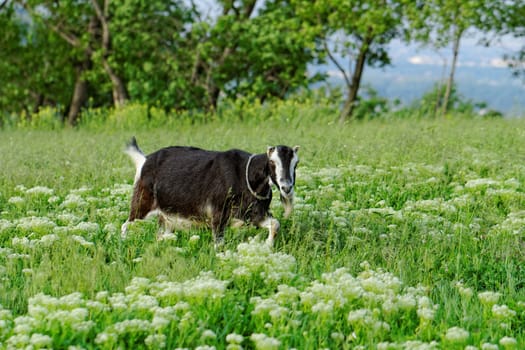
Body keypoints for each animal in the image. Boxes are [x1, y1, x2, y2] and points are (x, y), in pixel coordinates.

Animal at [119, 135, 298, 245]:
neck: (245, 175)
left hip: (166, 216)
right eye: (272, 162)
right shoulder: (218, 213)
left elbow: (275, 224)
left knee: (161, 234)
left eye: (296, 164)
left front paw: (268, 245)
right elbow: (218, 242)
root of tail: (144, 160)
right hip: (142, 203)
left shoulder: (254, 214)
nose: (286, 187)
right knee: (126, 224)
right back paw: (123, 242)